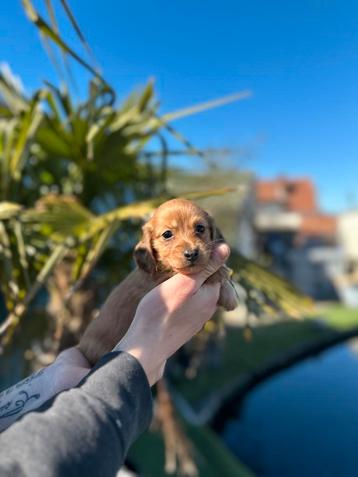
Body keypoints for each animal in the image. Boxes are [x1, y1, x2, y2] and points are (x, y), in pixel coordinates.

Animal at [79, 197, 239, 364]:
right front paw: (222, 276)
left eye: (200, 228)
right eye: (167, 234)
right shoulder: (160, 280)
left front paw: (229, 292)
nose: (192, 254)